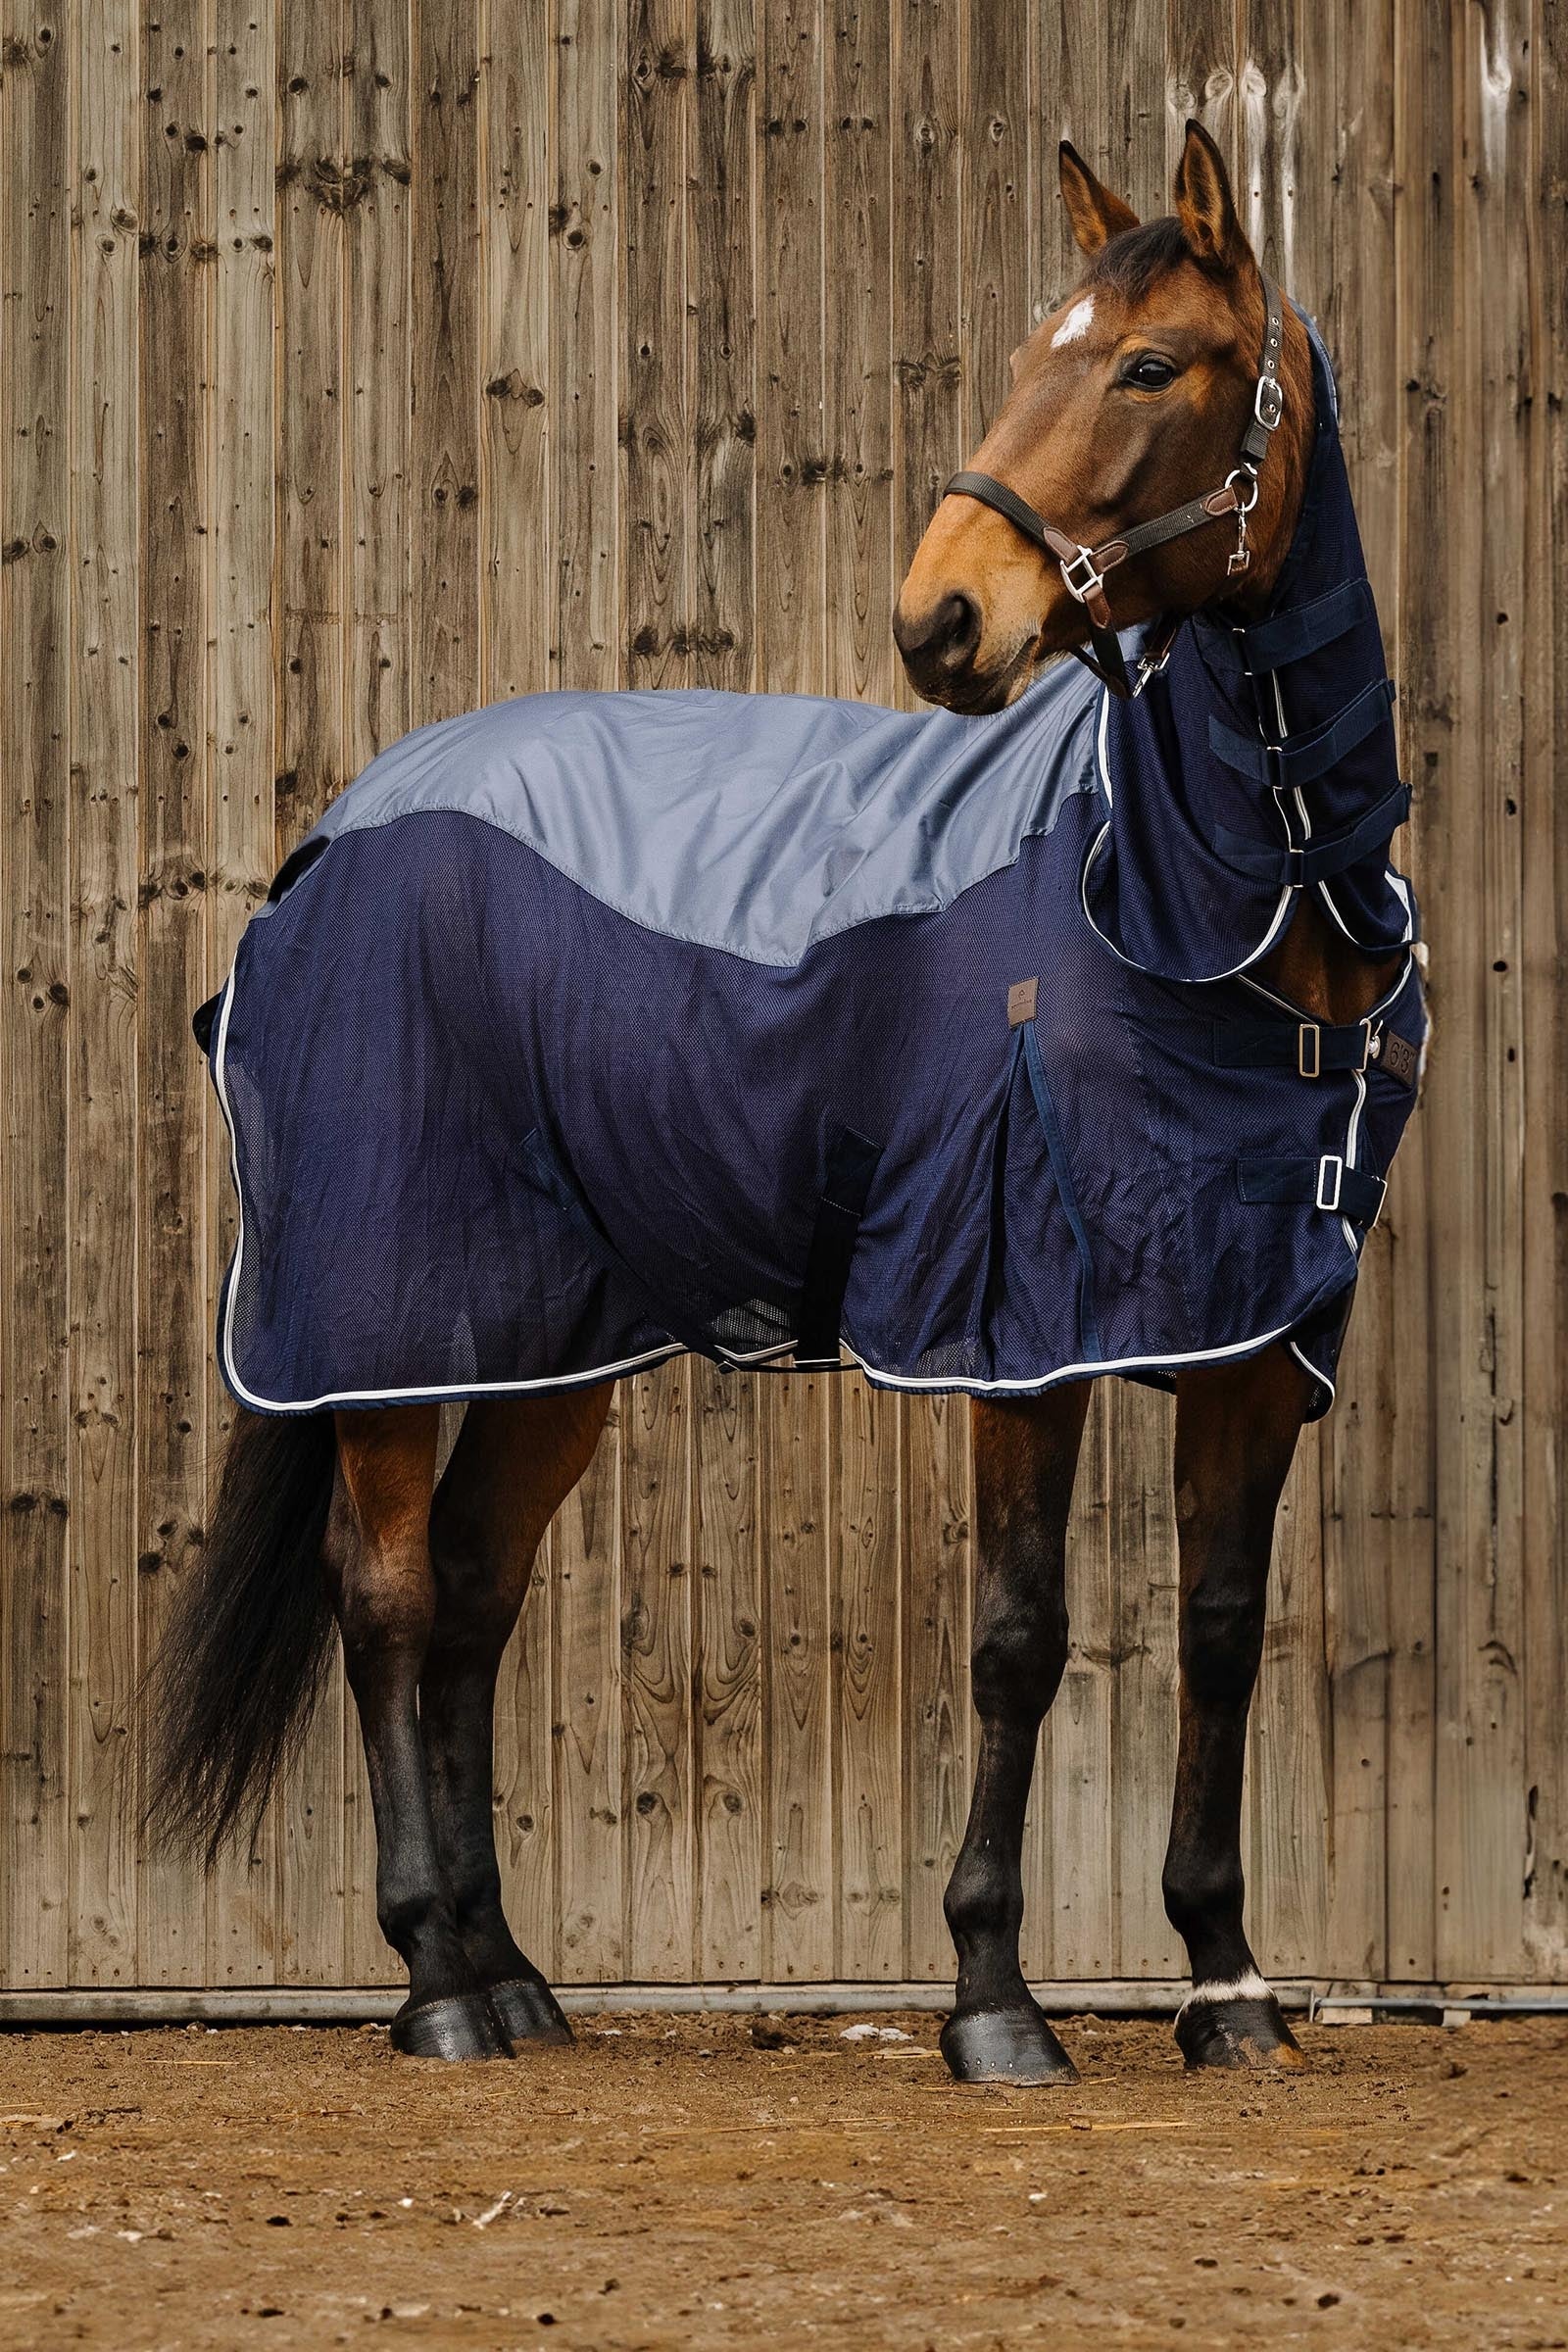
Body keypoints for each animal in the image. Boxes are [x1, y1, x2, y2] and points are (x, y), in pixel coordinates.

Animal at [149, 122, 1423, 2079]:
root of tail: (329, 842)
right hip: (383, 1312)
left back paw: (514, 1980)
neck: (1214, 903)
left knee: (474, 1603)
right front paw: (994, 2000)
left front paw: (1227, 1985)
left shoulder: (1256, 1334)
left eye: (1148, 366)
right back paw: (434, 1986)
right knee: (389, 1598)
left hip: (550, 1343)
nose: (940, 619)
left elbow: (1221, 1630)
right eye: (1032, 348)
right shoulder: (1013, 1319)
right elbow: (1020, 1635)